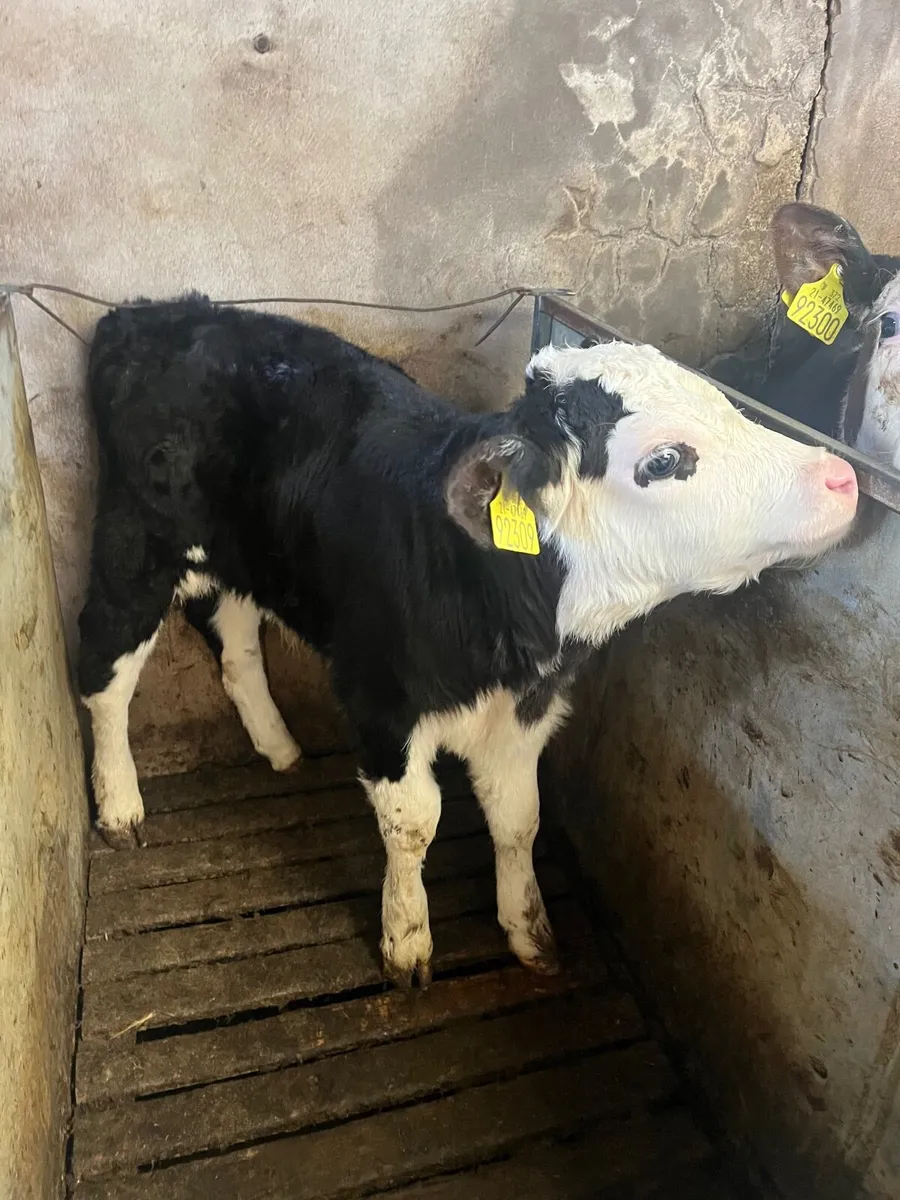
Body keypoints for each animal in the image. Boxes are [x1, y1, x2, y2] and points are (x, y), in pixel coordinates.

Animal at [79, 296, 858, 986]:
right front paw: (406, 940)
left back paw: (279, 748)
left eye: (725, 404)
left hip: (249, 557)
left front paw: (530, 932)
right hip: (134, 547)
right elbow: (413, 821)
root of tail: (150, 313)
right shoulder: (380, 700)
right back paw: (120, 806)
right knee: (103, 673)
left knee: (237, 648)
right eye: (663, 461)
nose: (841, 477)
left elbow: (519, 817)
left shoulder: (523, 714)